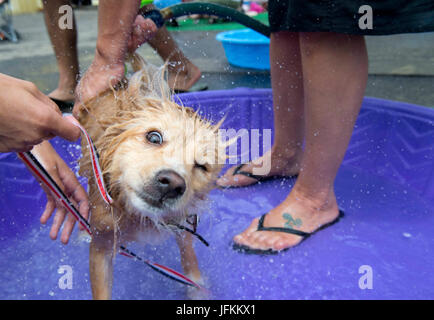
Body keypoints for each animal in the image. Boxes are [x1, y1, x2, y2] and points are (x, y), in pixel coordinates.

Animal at [76, 53, 225, 300]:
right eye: (154, 137)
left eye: (201, 166)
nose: (172, 183)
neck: (136, 215)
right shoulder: (102, 242)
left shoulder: (181, 221)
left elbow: (189, 257)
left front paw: (197, 289)